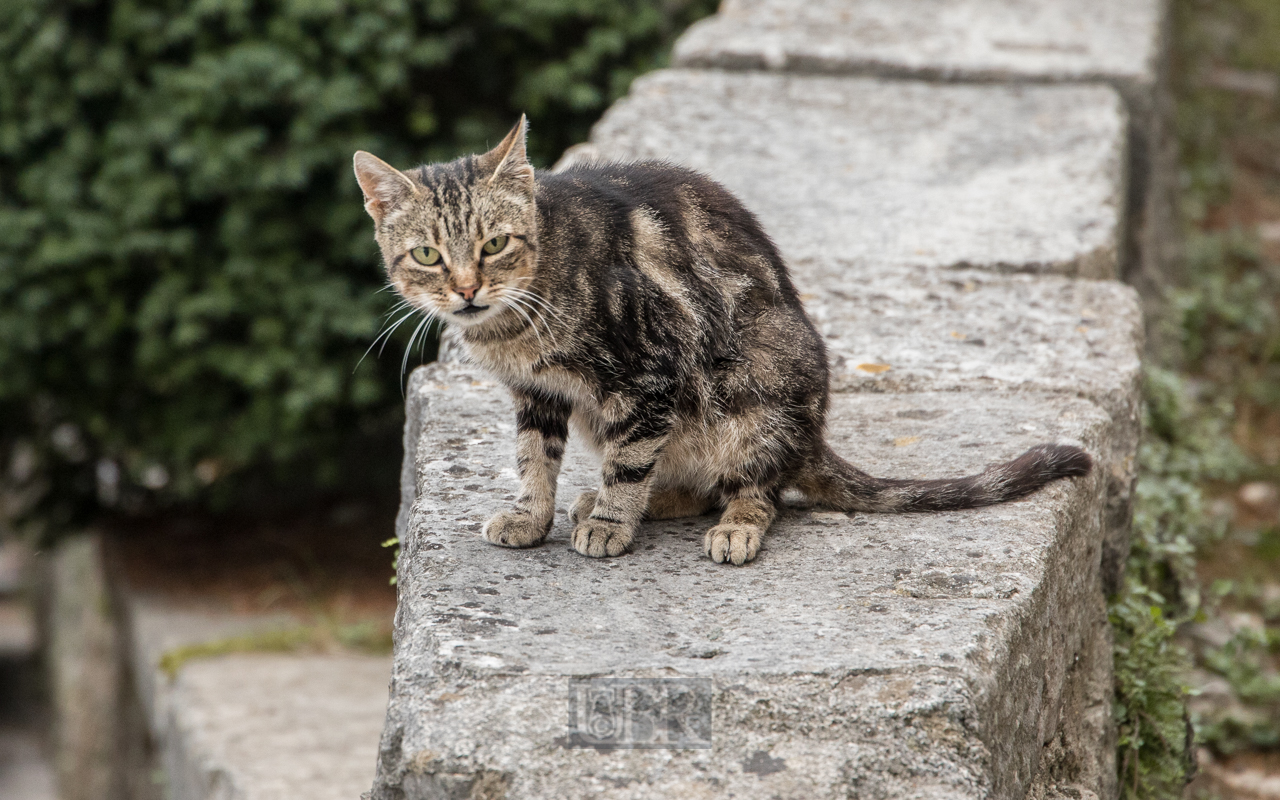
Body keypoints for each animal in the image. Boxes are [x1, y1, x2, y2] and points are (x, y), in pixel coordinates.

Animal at [350, 120, 1090, 568]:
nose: (467, 289)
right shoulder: (540, 395)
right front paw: (534, 517)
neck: (517, 321)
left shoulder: (648, 372)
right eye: (427, 254)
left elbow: (629, 464)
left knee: (756, 489)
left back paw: (729, 524)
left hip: (752, 399)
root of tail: (812, 438)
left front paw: (612, 523)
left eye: (495, 244)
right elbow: (534, 460)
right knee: (691, 481)